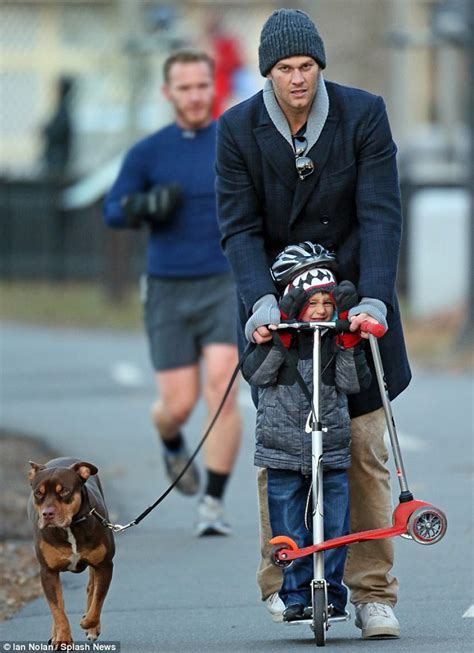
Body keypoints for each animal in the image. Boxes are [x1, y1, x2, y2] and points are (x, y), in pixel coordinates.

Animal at [28, 458, 115, 648]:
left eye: (64, 491)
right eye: (38, 493)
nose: (47, 514)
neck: (70, 527)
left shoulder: (104, 565)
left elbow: (97, 600)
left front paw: (88, 623)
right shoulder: (48, 571)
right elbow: (57, 608)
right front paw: (62, 638)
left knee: (91, 588)